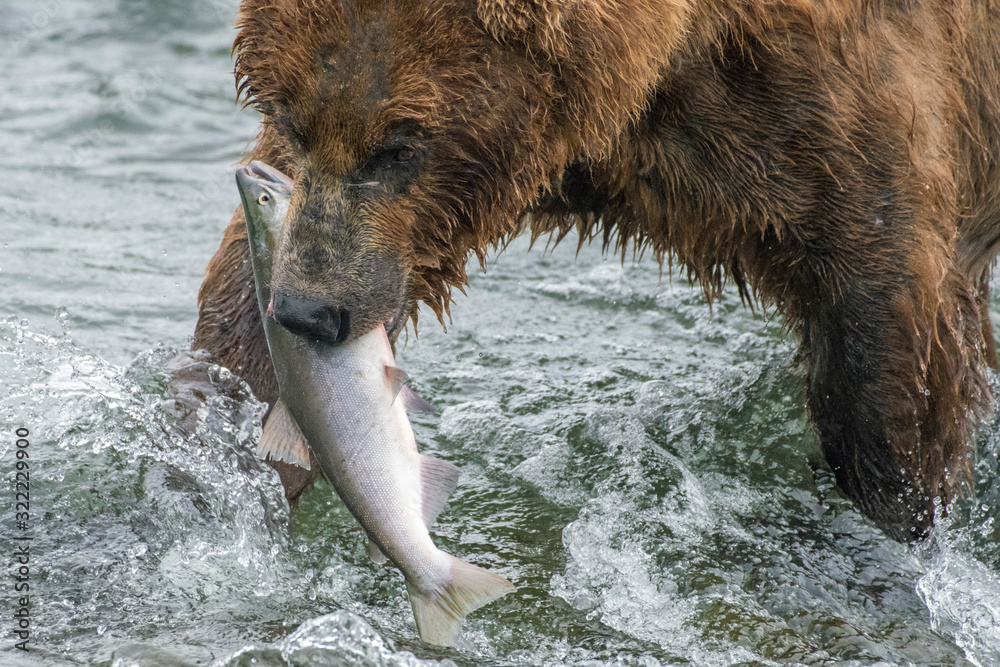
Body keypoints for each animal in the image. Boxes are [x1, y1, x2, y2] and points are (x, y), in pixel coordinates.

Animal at [193, 0, 1000, 541]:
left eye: (399, 145)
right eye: (290, 117)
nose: (307, 310)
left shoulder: (830, 119)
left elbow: (890, 353)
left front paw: (901, 514)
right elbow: (242, 306)